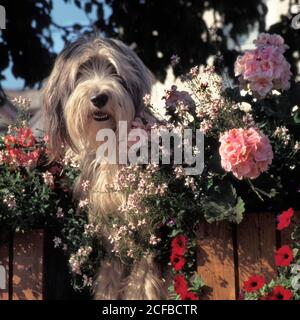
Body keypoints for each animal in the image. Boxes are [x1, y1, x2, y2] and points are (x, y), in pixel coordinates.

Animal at [43, 37, 168, 300]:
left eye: (113, 69)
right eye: (81, 71)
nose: (99, 98)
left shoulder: (145, 224)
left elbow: (143, 275)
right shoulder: (108, 225)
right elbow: (111, 270)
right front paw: (106, 294)